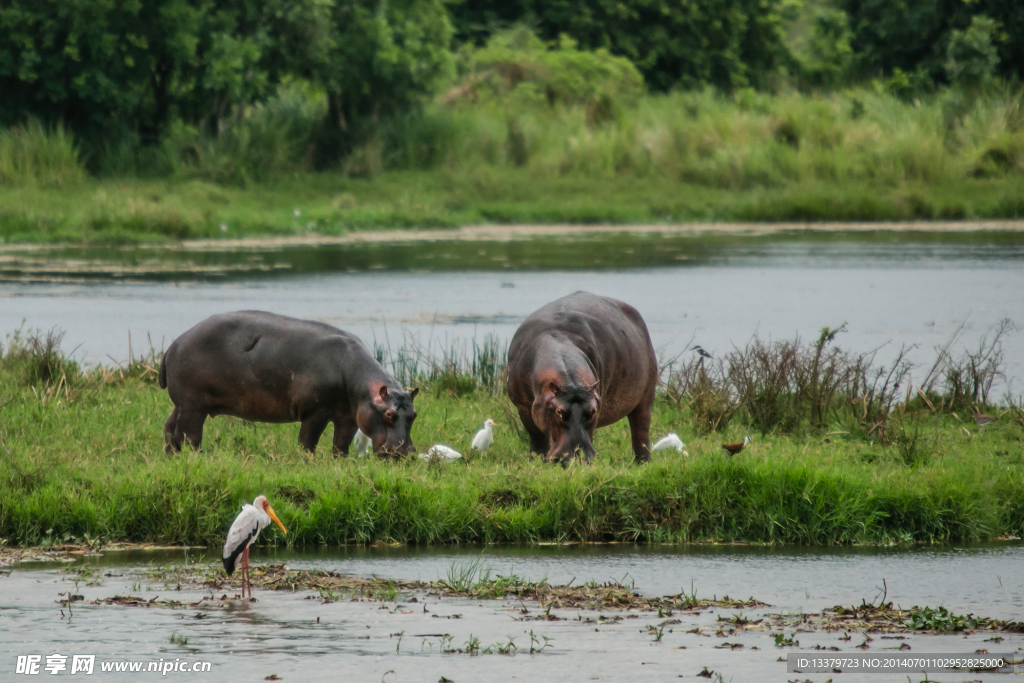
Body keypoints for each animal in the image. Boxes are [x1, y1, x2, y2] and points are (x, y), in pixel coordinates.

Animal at [159, 313, 415, 456]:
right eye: (389, 414)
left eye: (413, 415)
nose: (404, 453)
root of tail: (174, 344)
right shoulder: (316, 412)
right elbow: (308, 441)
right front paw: (307, 461)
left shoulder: (349, 417)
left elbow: (340, 444)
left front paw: (340, 461)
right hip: (193, 405)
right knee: (189, 434)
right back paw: (200, 456)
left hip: (182, 404)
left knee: (170, 427)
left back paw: (171, 456)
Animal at [507, 290, 659, 464]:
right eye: (559, 411)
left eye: (593, 411)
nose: (576, 457)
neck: (557, 338)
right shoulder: (524, 407)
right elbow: (537, 437)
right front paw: (537, 462)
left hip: (646, 396)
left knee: (640, 429)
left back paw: (643, 462)